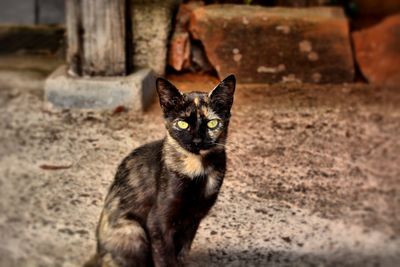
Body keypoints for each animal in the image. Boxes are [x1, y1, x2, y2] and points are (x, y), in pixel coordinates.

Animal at [84, 75, 234, 267]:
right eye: (182, 124)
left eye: (212, 123)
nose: (197, 141)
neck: (198, 170)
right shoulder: (158, 222)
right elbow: (165, 258)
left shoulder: (194, 219)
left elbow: (183, 253)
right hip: (133, 231)